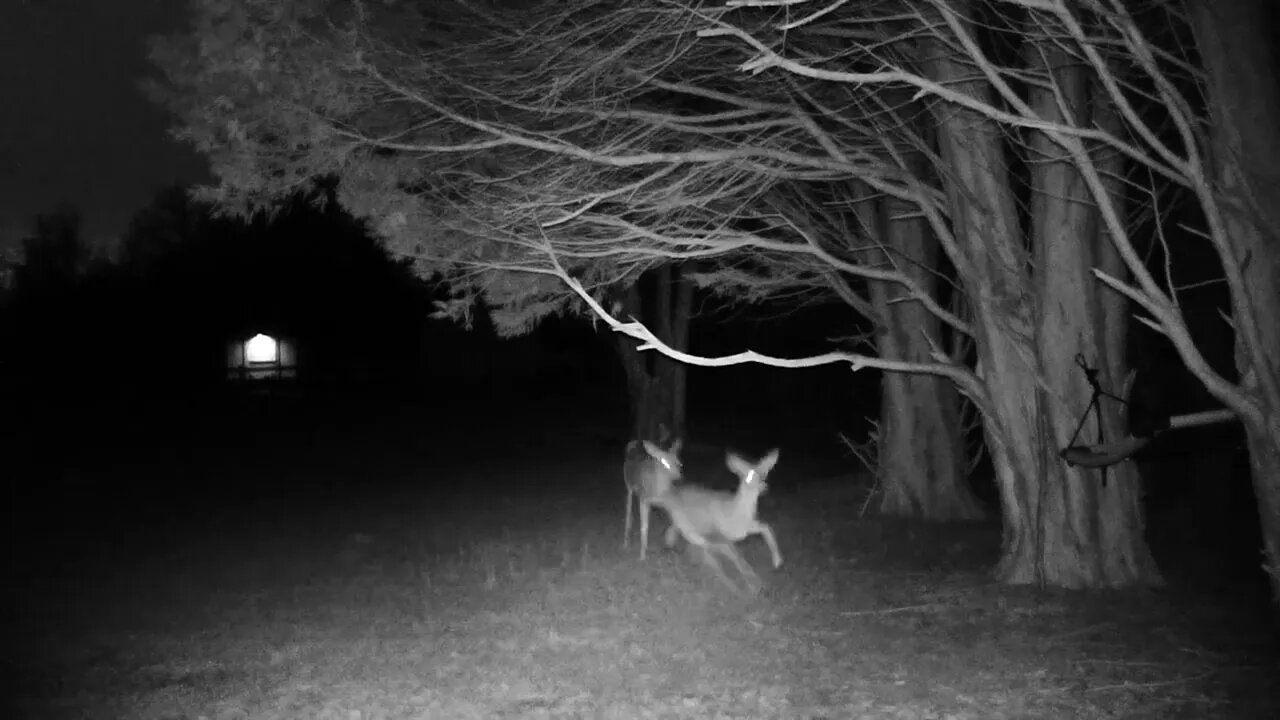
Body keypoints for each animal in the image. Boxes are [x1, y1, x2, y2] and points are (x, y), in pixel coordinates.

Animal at [653, 448, 781, 595]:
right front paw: (746, 587)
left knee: (675, 531)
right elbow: (730, 557)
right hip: (687, 525)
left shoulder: (746, 528)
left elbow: (766, 528)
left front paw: (776, 562)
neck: (736, 514)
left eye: (764, 474)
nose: (764, 487)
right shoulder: (721, 534)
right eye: (746, 476)